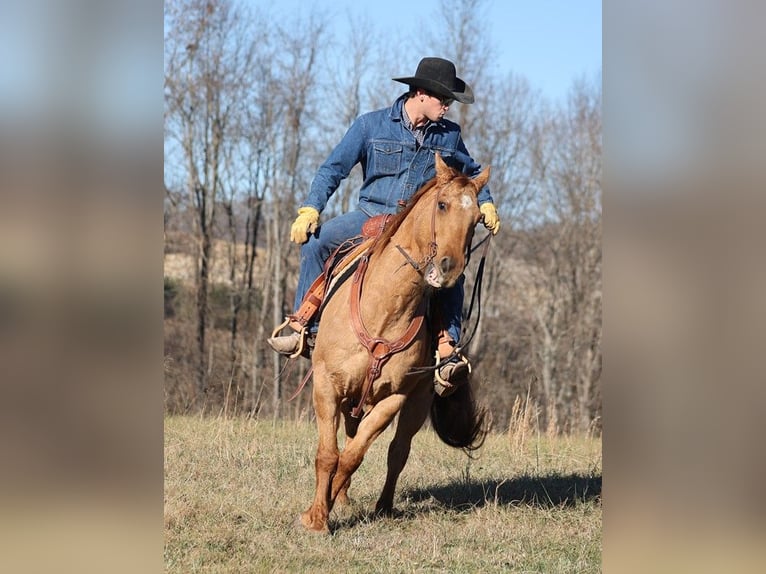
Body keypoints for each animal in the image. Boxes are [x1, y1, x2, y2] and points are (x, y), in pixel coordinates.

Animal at [300, 153, 492, 536]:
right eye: (442, 204)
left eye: (478, 218)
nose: (449, 268)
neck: (384, 310)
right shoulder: (327, 385)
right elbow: (328, 454)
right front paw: (316, 517)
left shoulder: (395, 397)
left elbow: (353, 456)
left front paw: (329, 503)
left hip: (415, 401)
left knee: (396, 450)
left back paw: (382, 507)